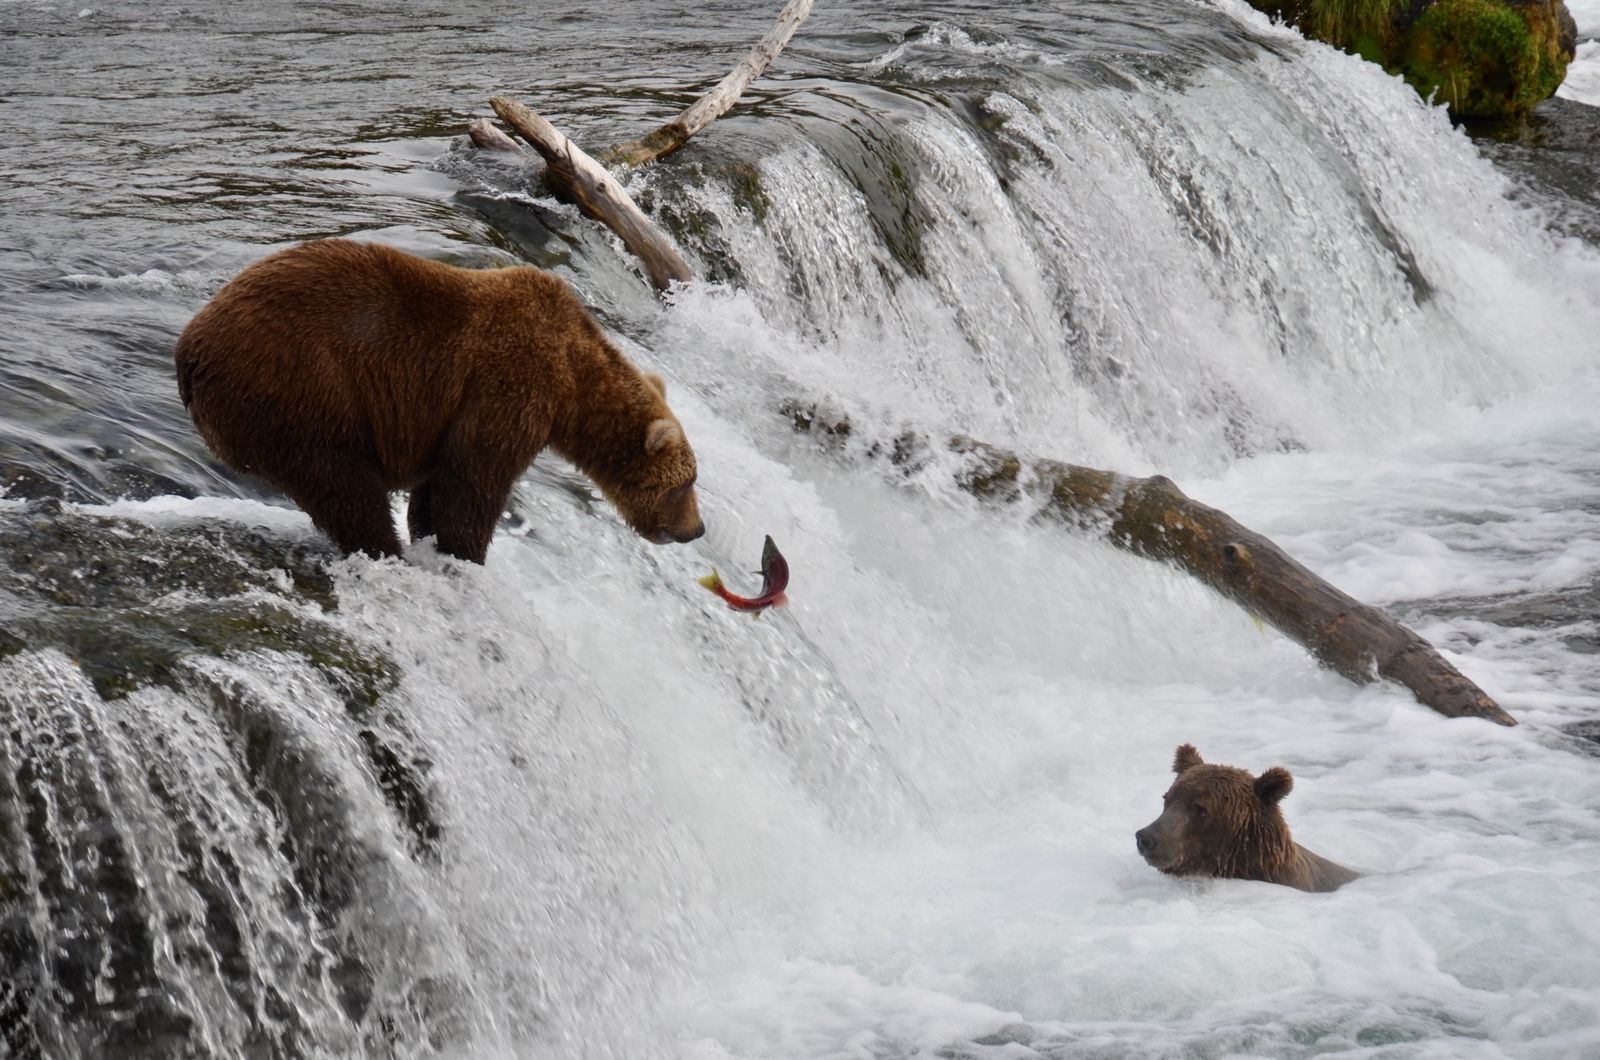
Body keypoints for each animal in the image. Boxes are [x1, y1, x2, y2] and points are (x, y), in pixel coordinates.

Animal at [172, 240, 704, 563]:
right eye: (684, 485)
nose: (696, 530)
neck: (574, 380)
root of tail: (188, 347)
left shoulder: (448, 414)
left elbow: (436, 484)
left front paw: (430, 534)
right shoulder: (511, 384)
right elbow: (473, 480)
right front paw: (465, 552)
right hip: (300, 387)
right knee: (341, 483)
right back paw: (383, 550)